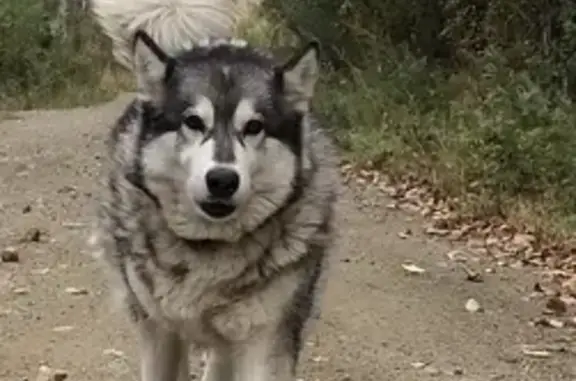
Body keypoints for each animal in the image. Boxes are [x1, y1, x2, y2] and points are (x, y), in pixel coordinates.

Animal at [89, 2, 340, 380]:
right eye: (193, 122)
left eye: (254, 126)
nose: (222, 179)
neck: (209, 248)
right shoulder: (160, 333)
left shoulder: (265, 340)